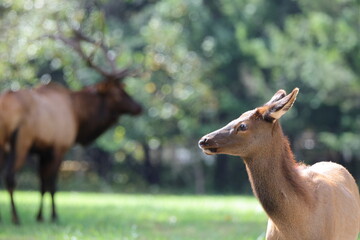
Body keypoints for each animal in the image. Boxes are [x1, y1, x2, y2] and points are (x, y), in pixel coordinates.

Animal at [0, 28, 142, 225]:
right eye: (118, 92)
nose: (139, 107)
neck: (77, 115)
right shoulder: (59, 147)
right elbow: (51, 184)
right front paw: (52, 216)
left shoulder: (42, 151)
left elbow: (42, 183)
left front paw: (40, 216)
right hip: (21, 141)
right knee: (10, 176)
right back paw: (16, 218)